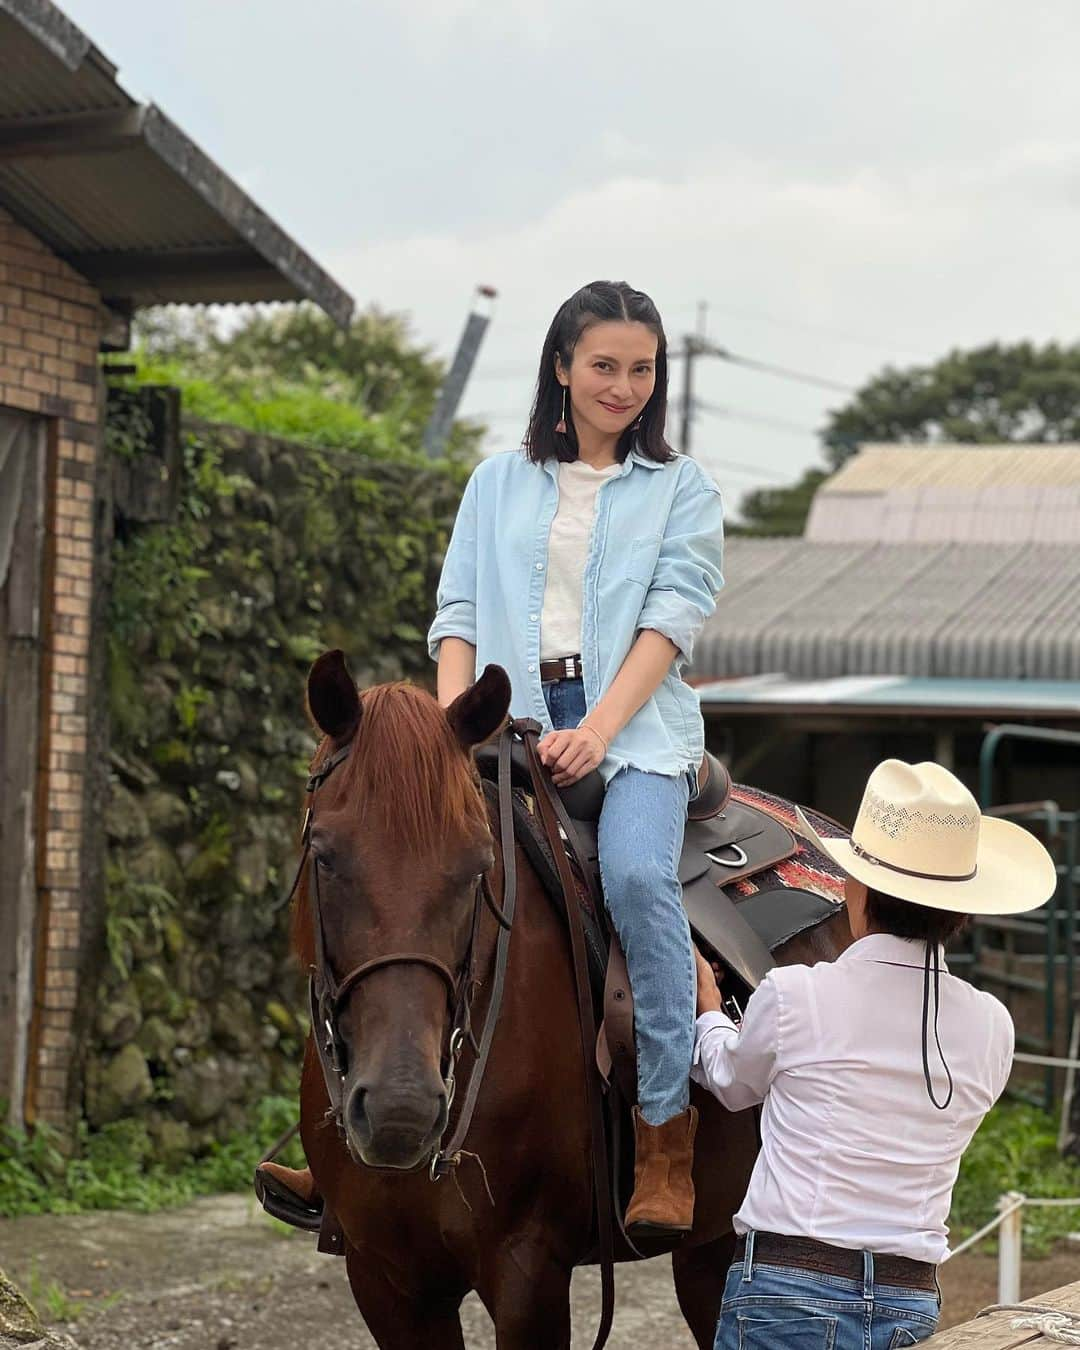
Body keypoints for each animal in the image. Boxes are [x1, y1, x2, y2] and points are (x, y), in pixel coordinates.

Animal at [291, 648, 847, 1344]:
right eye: (324, 855)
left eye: (479, 866)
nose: (401, 1110)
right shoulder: (385, 1281)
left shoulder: (528, 1273)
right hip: (714, 1242)